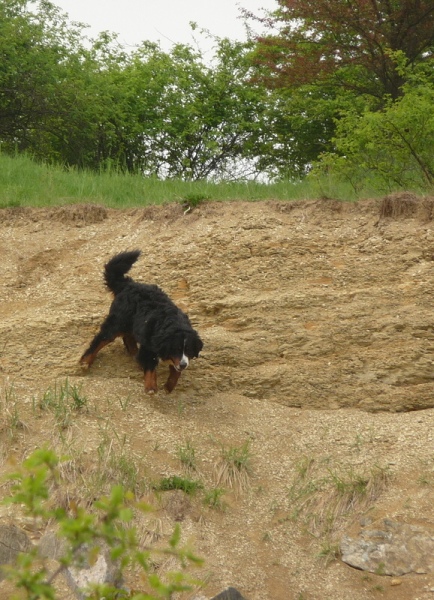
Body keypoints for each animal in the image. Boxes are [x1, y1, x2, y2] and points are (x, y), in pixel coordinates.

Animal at [80, 250, 203, 394]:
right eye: (176, 348)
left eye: (188, 349)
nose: (184, 364)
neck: (173, 325)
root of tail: (128, 284)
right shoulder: (149, 346)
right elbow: (150, 367)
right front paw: (151, 387)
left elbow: (175, 371)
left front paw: (169, 386)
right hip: (118, 322)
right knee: (101, 339)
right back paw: (85, 362)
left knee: (128, 337)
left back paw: (134, 353)